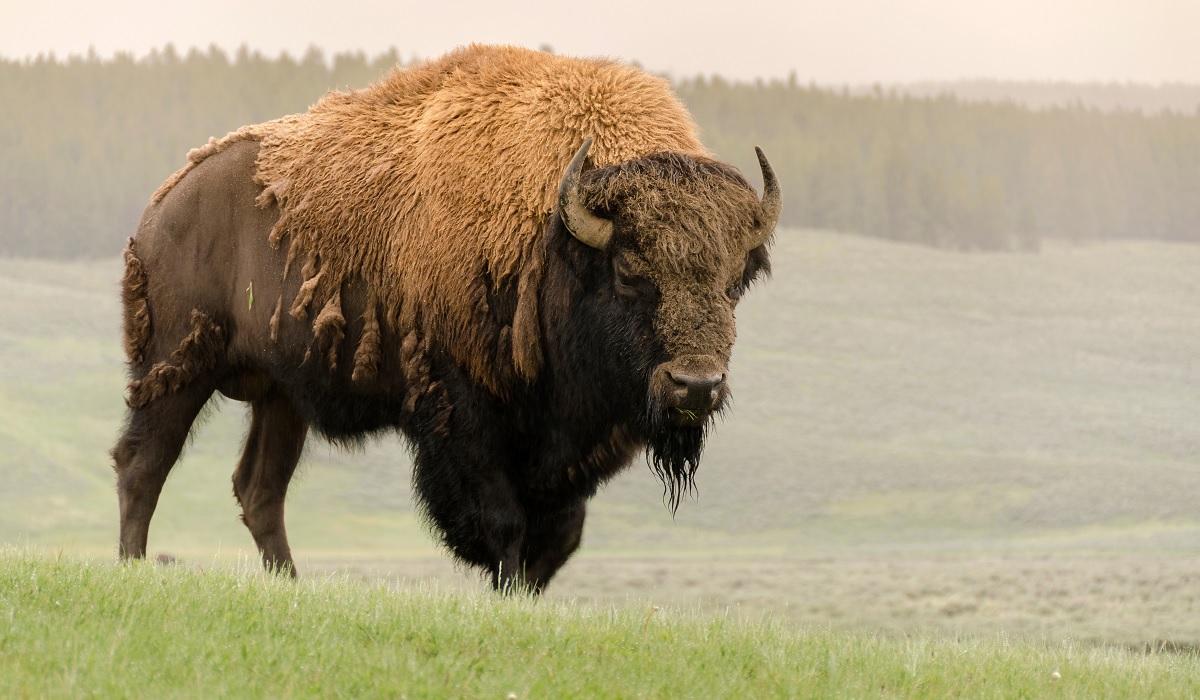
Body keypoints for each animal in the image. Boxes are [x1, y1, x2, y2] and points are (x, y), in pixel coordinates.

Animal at [114, 43, 777, 590]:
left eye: (735, 281)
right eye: (630, 271)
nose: (696, 386)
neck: (558, 239)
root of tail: (162, 207)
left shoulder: (570, 448)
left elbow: (558, 538)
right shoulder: (465, 414)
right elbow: (504, 523)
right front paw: (506, 595)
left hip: (282, 395)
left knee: (259, 490)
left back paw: (289, 584)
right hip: (176, 367)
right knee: (142, 464)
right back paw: (132, 568)